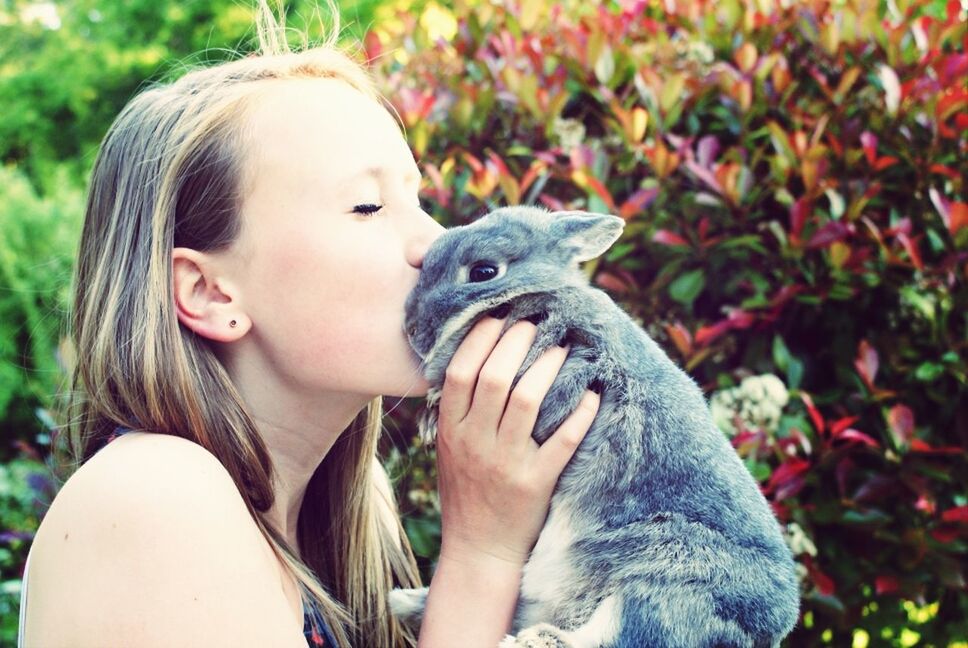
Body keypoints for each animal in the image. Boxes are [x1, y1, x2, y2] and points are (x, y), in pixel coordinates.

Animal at [390, 205, 796, 644]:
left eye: (483, 271)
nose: (412, 329)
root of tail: (770, 630)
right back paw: (404, 602)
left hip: (669, 579)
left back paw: (532, 640)